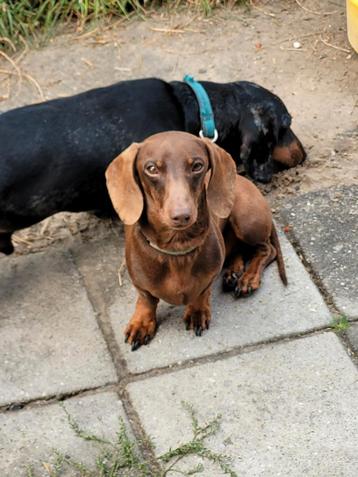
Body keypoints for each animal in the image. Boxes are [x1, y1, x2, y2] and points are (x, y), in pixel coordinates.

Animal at [105, 130, 286, 350]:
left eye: (197, 165)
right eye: (151, 168)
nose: (182, 215)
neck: (176, 248)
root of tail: (243, 179)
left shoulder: (208, 278)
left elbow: (202, 292)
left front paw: (197, 312)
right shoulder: (140, 285)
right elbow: (146, 299)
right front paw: (141, 323)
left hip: (246, 222)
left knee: (266, 249)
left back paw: (248, 278)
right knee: (237, 250)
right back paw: (233, 273)